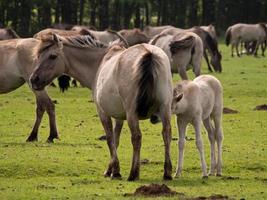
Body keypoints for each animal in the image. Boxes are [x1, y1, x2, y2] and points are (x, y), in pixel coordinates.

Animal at [29, 33, 174, 180]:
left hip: (132, 114)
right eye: (39, 56)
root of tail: (148, 53)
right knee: (166, 134)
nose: (33, 79)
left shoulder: (103, 113)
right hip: (165, 109)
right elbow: (116, 139)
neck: (100, 62)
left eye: (52, 56)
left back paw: (133, 173)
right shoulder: (119, 117)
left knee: (137, 137)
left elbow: (110, 139)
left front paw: (115, 171)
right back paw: (167, 172)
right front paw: (111, 169)